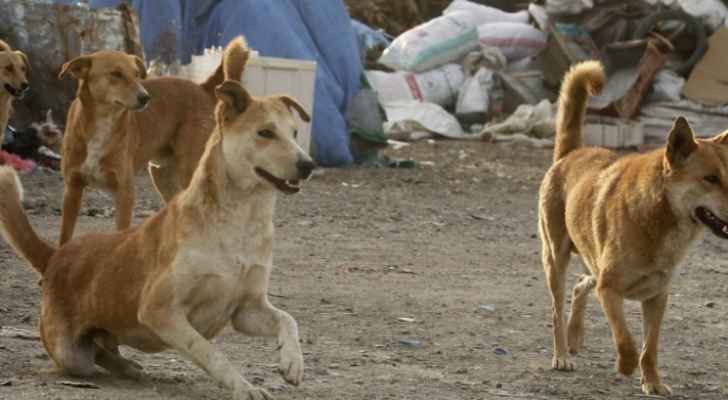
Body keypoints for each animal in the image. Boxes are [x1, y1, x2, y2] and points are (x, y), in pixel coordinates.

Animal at [0, 79, 318, 400]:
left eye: (294, 133)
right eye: (265, 132)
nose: (309, 165)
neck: (241, 221)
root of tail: (56, 256)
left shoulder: (246, 310)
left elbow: (288, 319)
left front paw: (292, 363)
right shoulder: (159, 310)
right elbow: (211, 352)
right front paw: (244, 387)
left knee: (102, 349)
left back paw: (128, 367)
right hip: (71, 355)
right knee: (91, 355)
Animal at [57, 37, 250, 244]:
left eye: (136, 74)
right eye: (116, 74)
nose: (145, 97)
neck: (102, 123)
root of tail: (201, 87)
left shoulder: (125, 192)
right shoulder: (72, 189)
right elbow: (64, 236)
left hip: (189, 170)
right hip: (161, 175)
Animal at [536, 61, 728, 396]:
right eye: (710, 179)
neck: (660, 218)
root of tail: (570, 154)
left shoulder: (657, 298)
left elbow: (649, 348)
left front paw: (653, 382)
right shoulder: (610, 290)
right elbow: (627, 340)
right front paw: (626, 366)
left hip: (591, 262)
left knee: (580, 286)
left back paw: (575, 337)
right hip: (556, 260)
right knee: (557, 309)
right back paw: (561, 355)